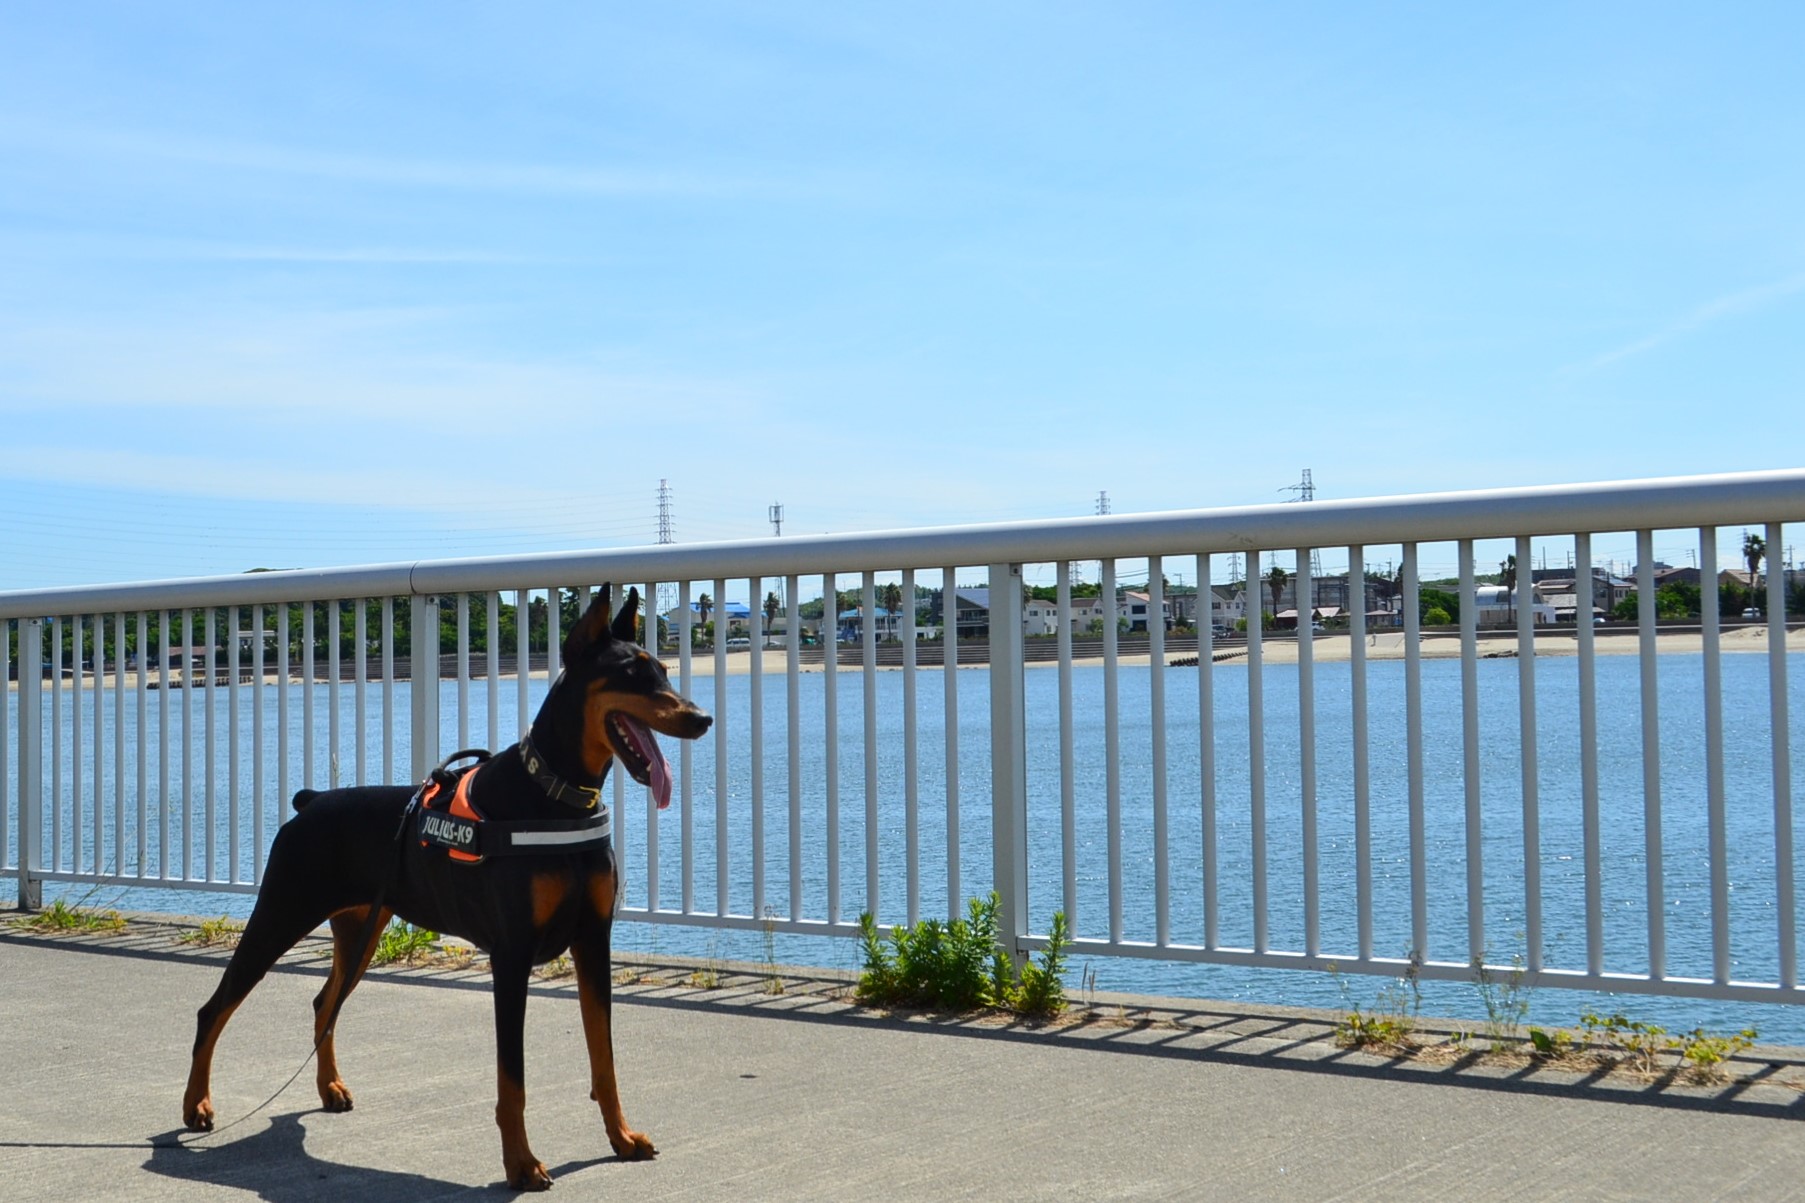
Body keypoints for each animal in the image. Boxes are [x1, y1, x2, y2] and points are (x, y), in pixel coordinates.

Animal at [181, 585, 711, 1184]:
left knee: (324, 1003)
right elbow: (513, 1077)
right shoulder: (512, 953)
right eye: (632, 673)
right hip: (281, 911)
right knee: (215, 1009)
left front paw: (621, 1137)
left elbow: (605, 1057)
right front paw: (521, 1164)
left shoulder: (593, 938)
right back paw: (196, 1106)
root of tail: (310, 802)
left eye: (663, 671)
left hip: (361, 926)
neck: (556, 794)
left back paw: (329, 1088)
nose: (702, 718)